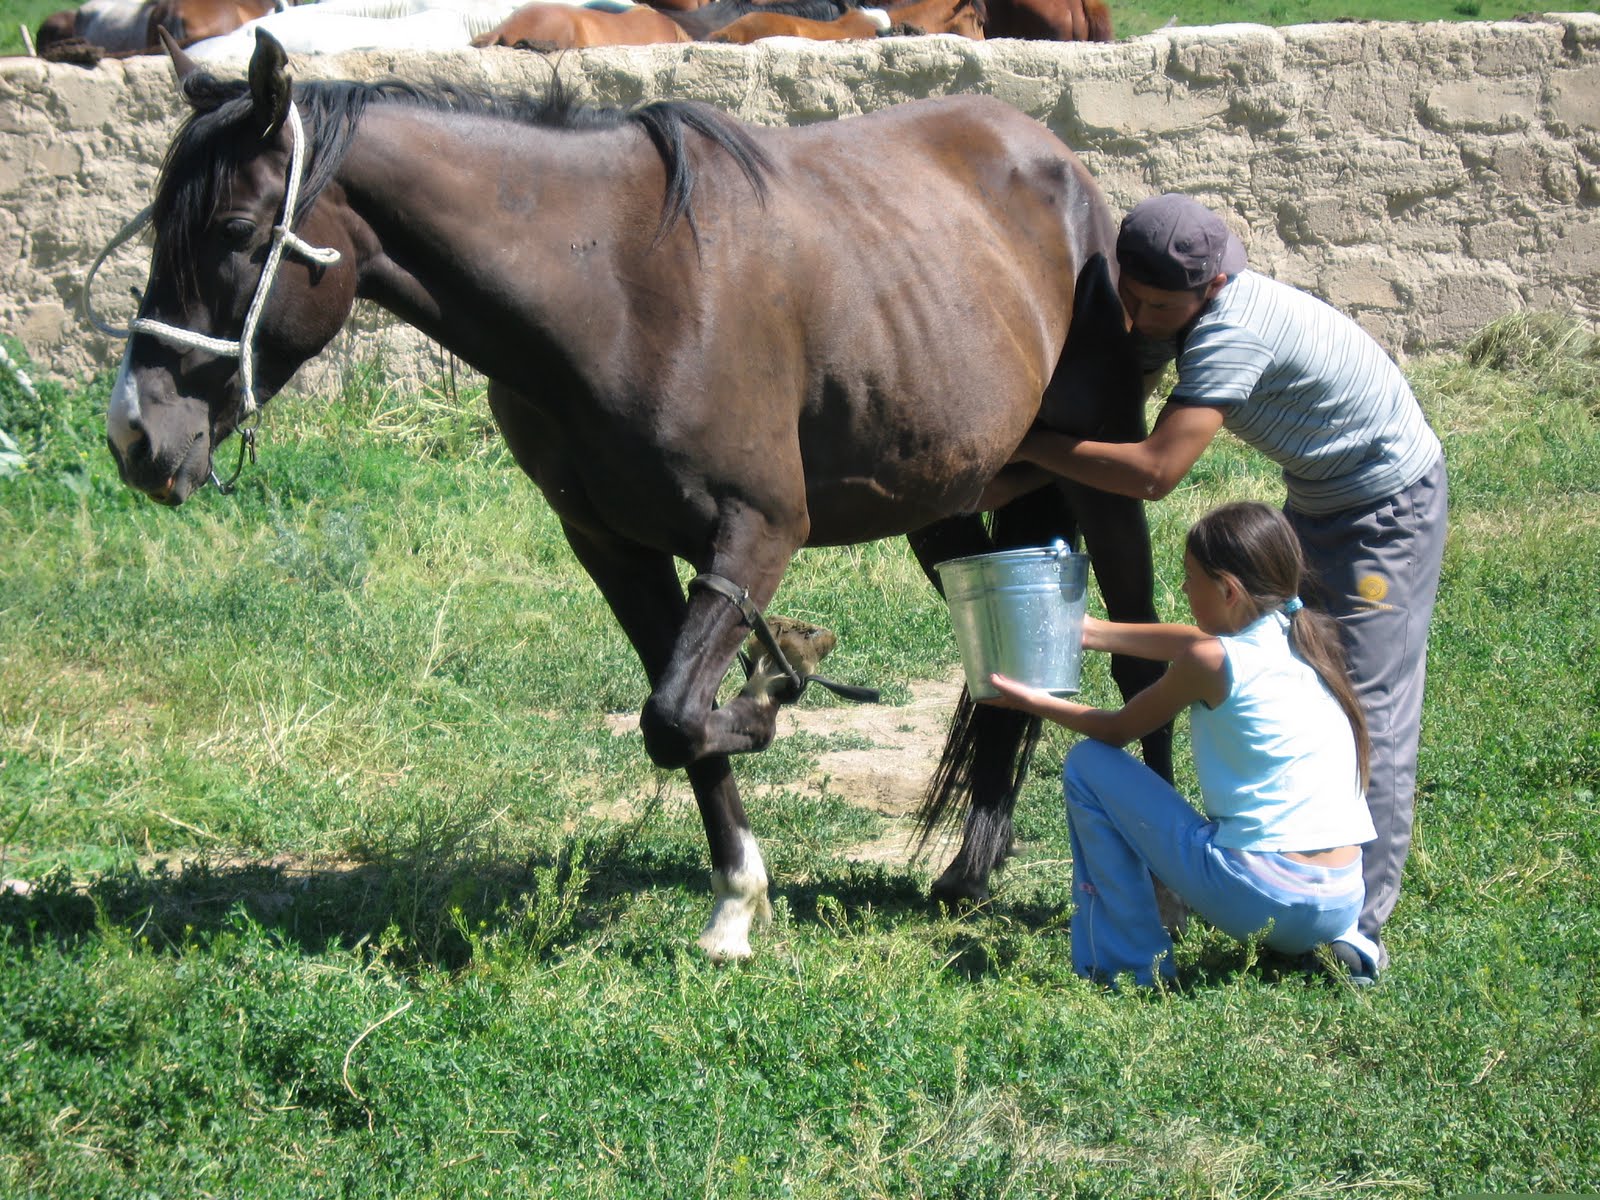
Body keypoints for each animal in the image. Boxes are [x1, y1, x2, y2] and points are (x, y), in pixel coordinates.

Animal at [106, 30, 1171, 960]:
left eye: (235, 230)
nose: (136, 435)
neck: (614, 290)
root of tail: (1053, 161)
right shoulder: (613, 547)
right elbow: (677, 721)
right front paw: (737, 901)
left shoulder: (757, 532)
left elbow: (679, 714)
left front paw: (776, 683)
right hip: (942, 504)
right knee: (1004, 677)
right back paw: (971, 867)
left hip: (1107, 487)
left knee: (1138, 669)